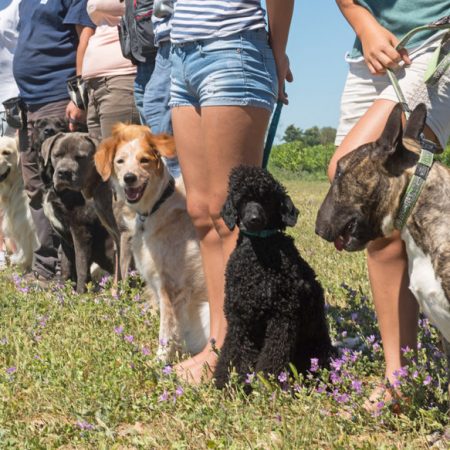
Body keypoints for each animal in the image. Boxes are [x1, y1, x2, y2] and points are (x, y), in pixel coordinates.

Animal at [38, 131, 114, 292]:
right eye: (57, 155)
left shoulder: (81, 231)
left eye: (80, 157)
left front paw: (81, 293)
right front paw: (63, 289)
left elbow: (81, 265)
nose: (64, 173)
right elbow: (66, 265)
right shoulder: (65, 237)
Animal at [95, 123, 209, 362]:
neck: (156, 206)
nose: (129, 178)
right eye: (120, 161)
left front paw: (160, 363)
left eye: (144, 160)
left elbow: (166, 331)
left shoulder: (171, 288)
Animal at [214, 166, 334, 389]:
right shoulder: (239, 318)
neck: (259, 253)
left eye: (267, 199)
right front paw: (228, 384)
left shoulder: (282, 317)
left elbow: (272, 357)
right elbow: (233, 353)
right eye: (242, 200)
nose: (253, 219)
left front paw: (267, 384)